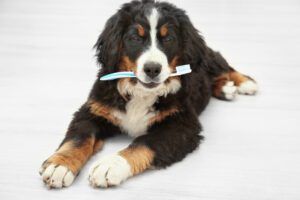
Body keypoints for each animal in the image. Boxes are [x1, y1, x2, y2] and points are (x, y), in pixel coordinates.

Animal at [39, 0, 258, 188]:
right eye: (135, 38)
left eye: (168, 38)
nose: (152, 69)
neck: (140, 93)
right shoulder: (93, 110)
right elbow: (79, 138)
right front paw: (61, 165)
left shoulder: (181, 125)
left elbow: (143, 143)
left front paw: (111, 165)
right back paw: (226, 88)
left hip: (209, 58)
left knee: (224, 66)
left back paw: (245, 83)